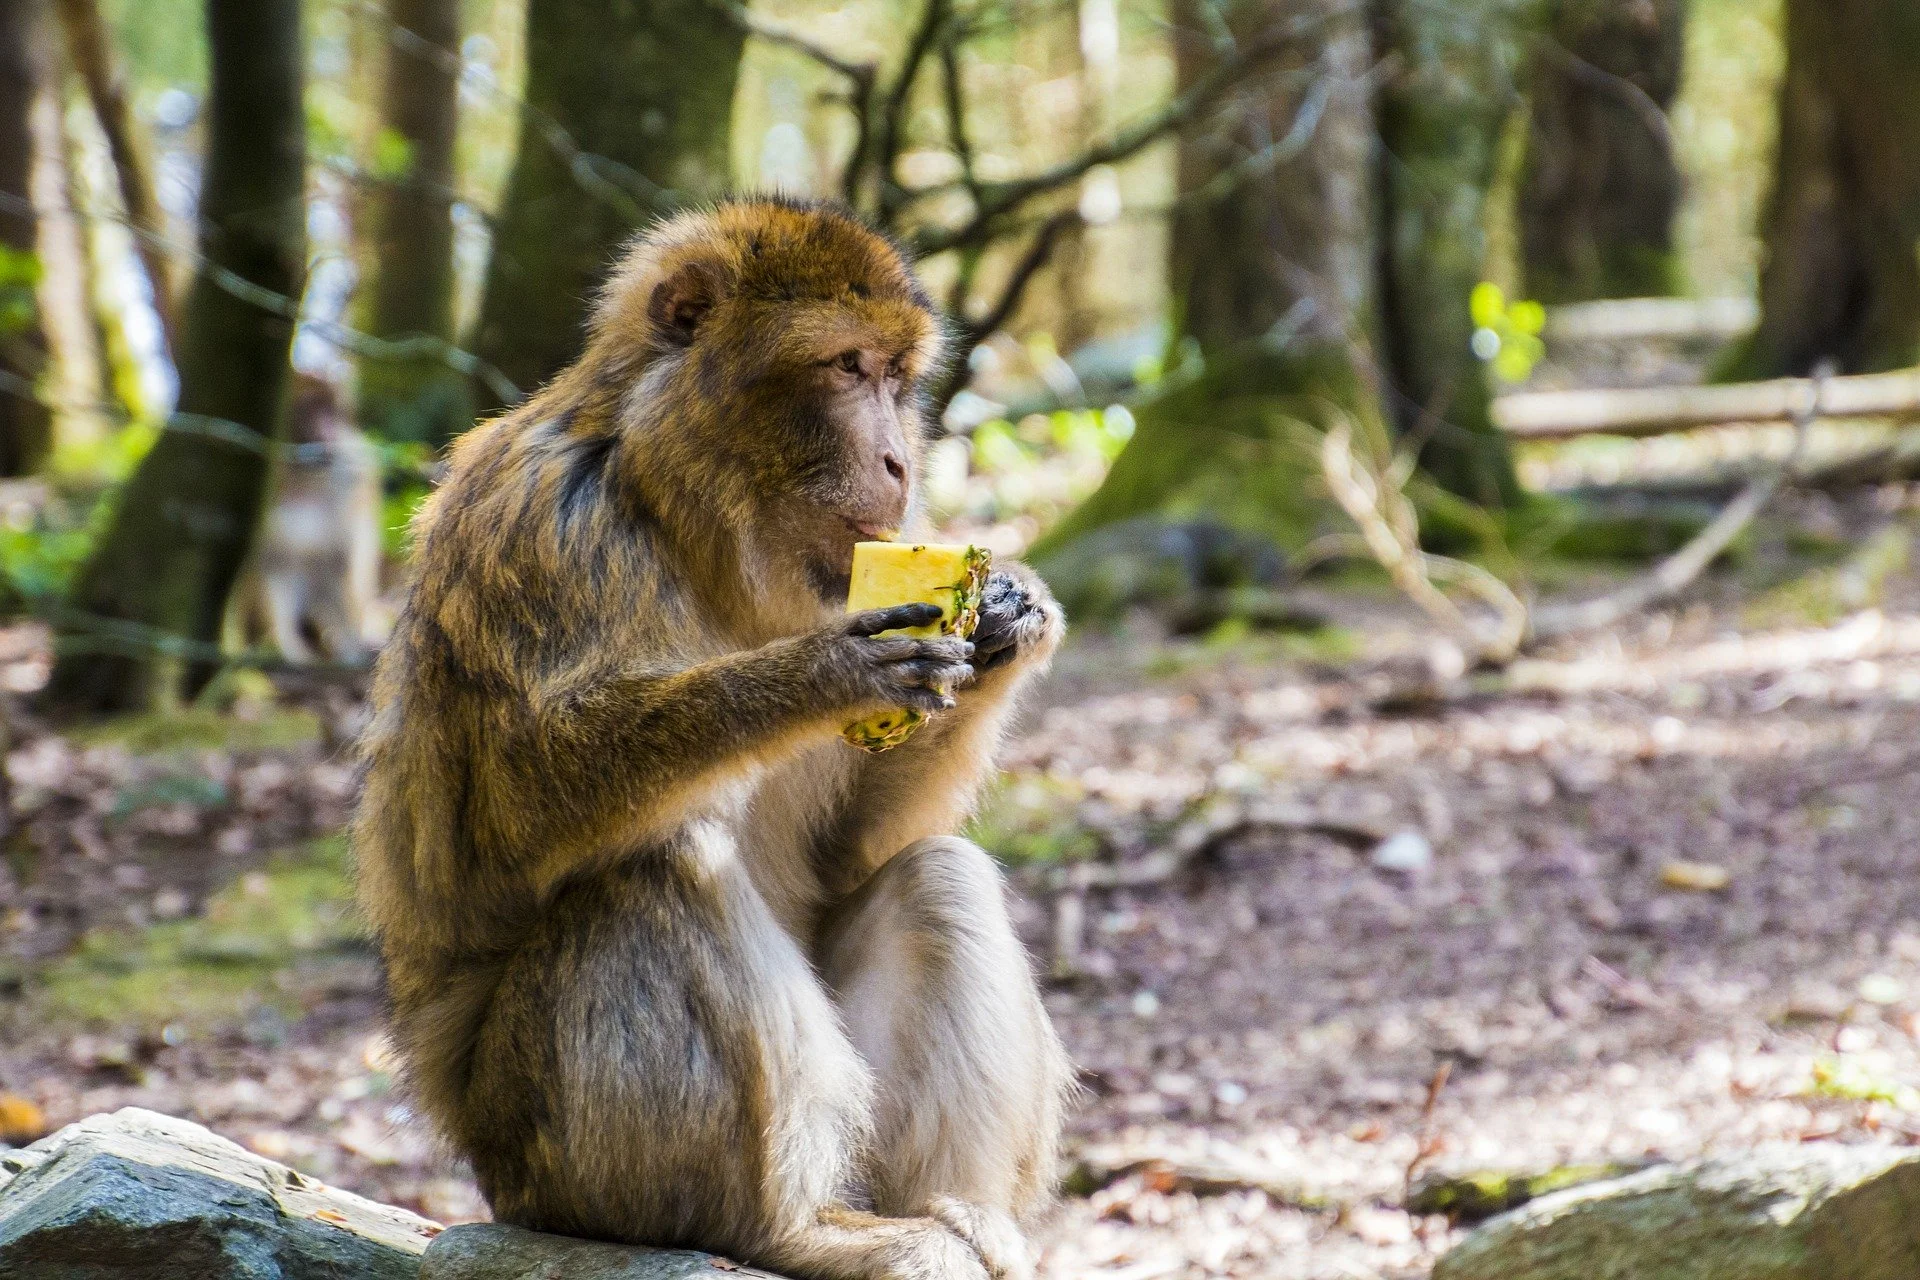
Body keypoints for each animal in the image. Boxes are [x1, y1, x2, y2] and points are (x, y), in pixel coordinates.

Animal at [234, 372, 383, 666]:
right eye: (310, 408)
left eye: (332, 409)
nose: (330, 432)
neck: (299, 476)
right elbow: (272, 565)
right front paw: (285, 646)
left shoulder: (352, 476)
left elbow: (338, 562)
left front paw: (351, 649)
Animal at [353, 198, 1073, 1280]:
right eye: (846, 367)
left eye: (896, 376)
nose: (901, 459)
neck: (688, 522)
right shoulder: (540, 525)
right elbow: (515, 811)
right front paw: (817, 675)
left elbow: (857, 849)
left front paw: (1007, 616)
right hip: (550, 1158)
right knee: (661, 867)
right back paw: (787, 1228)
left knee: (935, 876)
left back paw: (957, 1211)